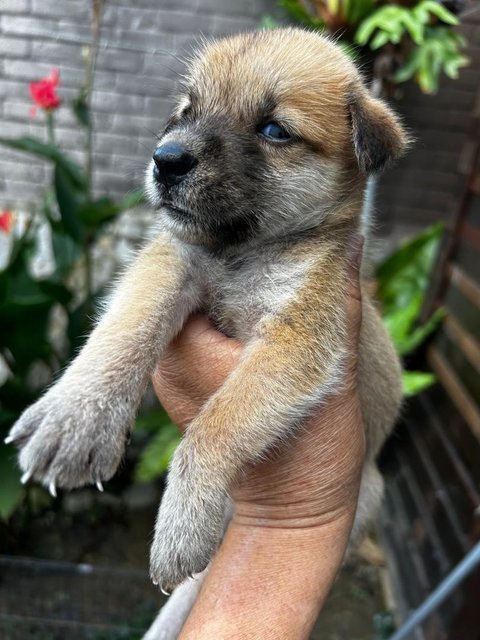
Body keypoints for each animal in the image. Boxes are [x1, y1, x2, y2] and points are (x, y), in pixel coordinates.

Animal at [6, 27, 404, 596]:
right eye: (187, 111)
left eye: (274, 129)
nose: (165, 159)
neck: (238, 254)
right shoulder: (171, 261)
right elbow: (126, 326)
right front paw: (77, 418)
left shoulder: (298, 336)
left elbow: (218, 421)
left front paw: (183, 522)